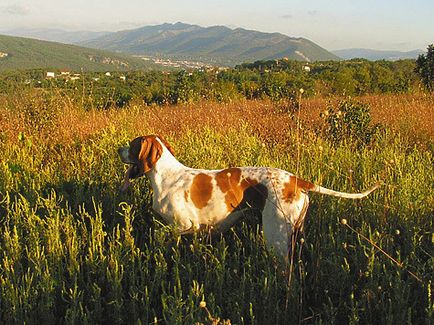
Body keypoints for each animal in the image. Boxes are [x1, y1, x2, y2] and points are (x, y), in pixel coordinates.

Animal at [119, 135, 380, 260]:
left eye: (132, 145)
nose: (117, 149)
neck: (166, 175)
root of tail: (296, 180)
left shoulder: (184, 224)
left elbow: (160, 234)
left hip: (275, 236)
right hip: (296, 234)